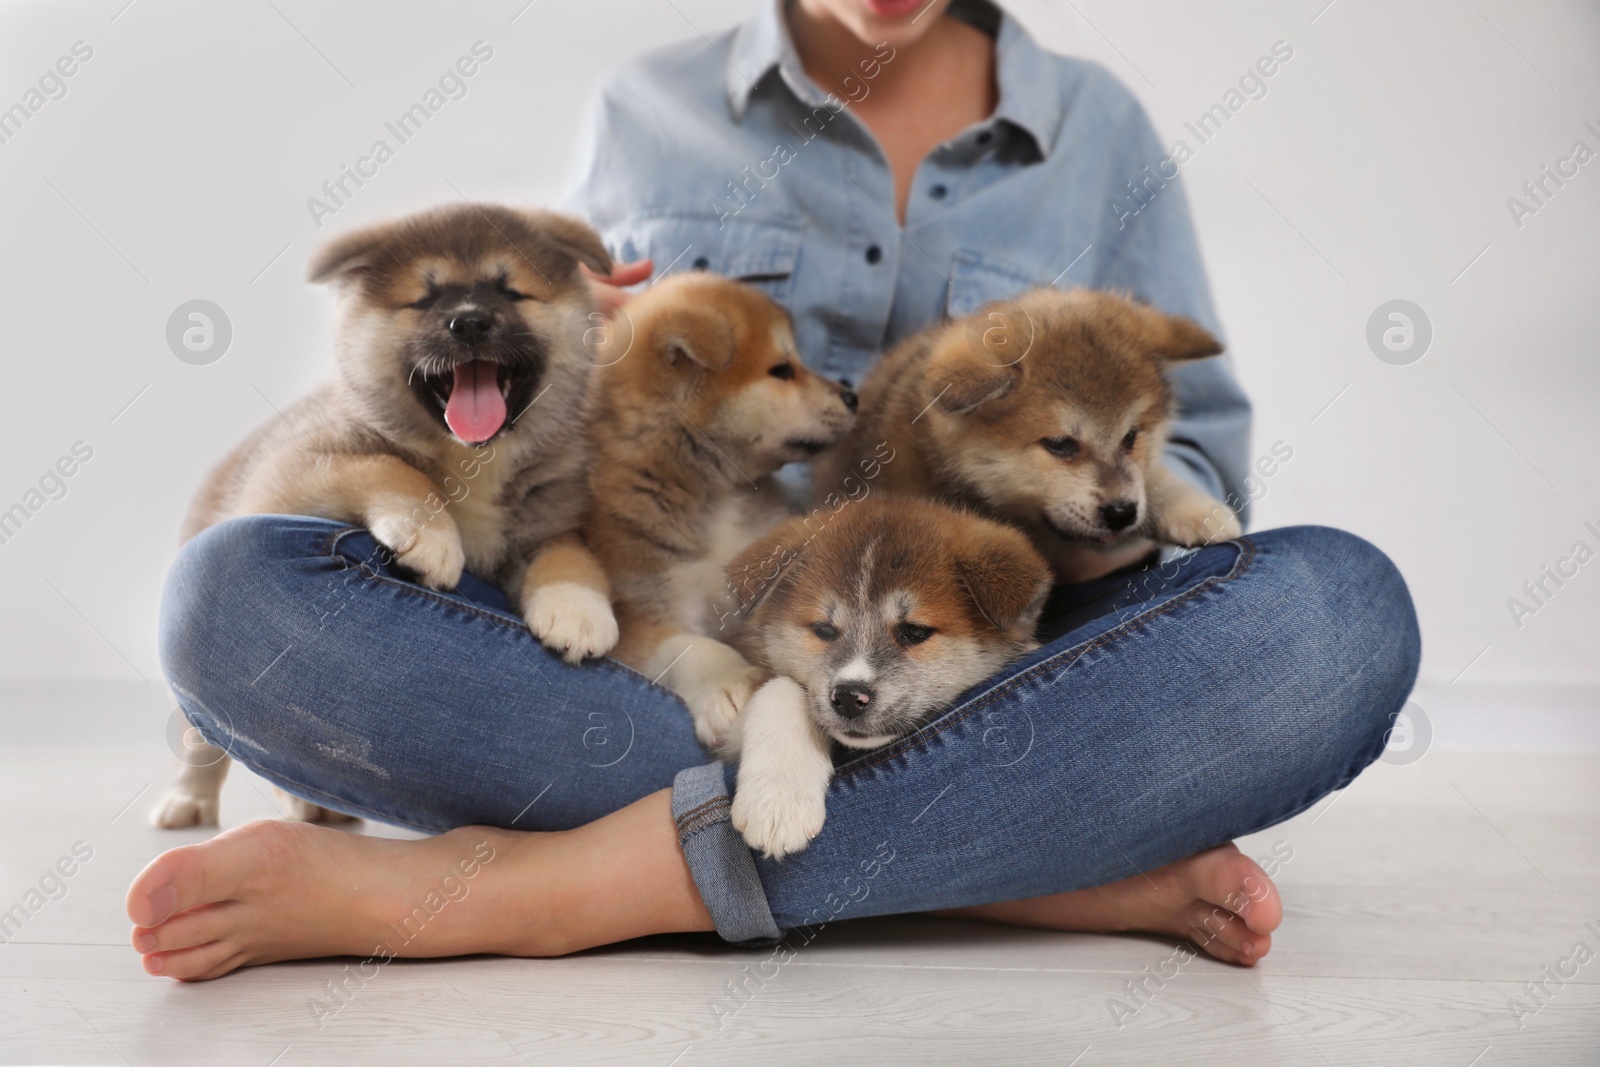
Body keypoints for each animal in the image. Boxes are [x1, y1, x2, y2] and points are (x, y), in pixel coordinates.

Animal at [156, 204, 617, 831]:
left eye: (509, 290)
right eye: (424, 298)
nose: (470, 323)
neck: (475, 459)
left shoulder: (549, 517)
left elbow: (570, 554)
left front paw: (577, 609)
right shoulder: (291, 472)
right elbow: (390, 467)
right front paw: (434, 536)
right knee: (202, 738)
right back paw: (192, 800)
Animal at [585, 271, 864, 748]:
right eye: (781, 370)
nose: (852, 396)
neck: (719, 496)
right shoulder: (643, 609)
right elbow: (692, 647)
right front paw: (729, 684)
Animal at [723, 495, 1049, 857]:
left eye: (915, 631)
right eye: (825, 630)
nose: (849, 697)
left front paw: (779, 798)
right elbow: (779, 688)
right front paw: (777, 795)